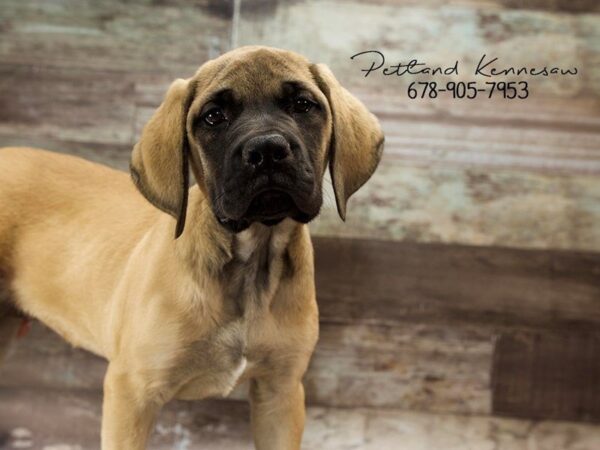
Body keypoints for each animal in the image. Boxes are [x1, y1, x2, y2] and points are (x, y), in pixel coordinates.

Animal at [0, 46, 384, 450]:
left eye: (302, 104)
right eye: (214, 116)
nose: (267, 150)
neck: (249, 263)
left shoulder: (280, 392)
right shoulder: (132, 392)